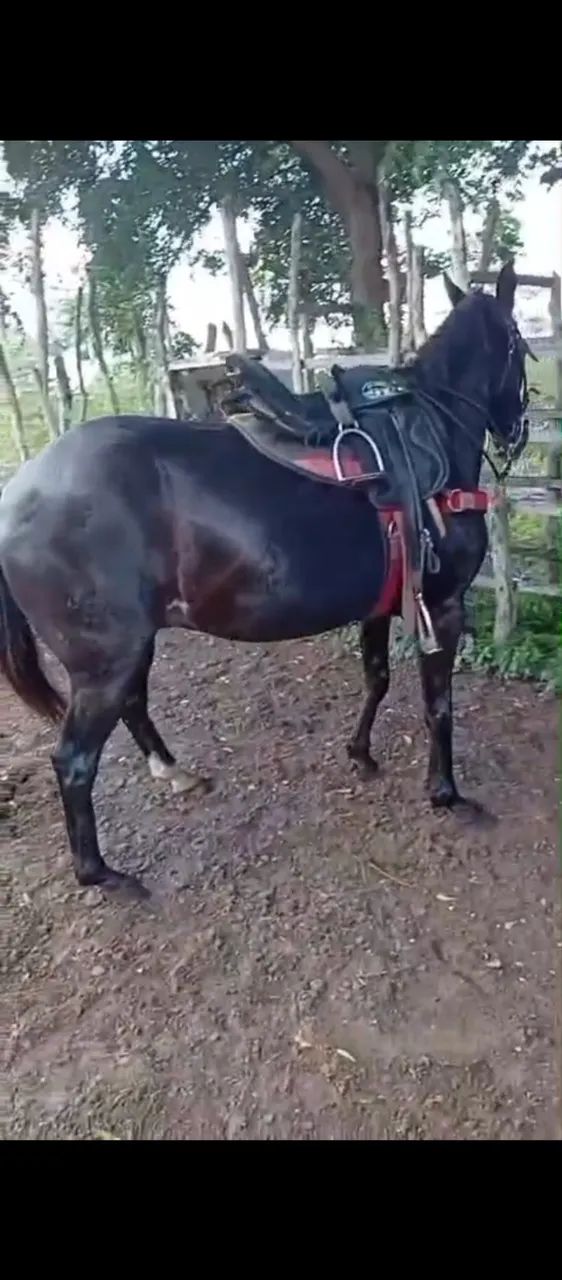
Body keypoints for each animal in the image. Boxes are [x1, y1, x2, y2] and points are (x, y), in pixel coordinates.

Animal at [0, 263, 530, 901]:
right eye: (522, 345)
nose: (517, 429)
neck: (431, 432)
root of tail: (16, 494)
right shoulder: (442, 603)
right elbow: (439, 705)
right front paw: (445, 793)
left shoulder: (378, 604)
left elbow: (376, 678)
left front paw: (360, 754)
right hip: (106, 659)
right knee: (74, 761)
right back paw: (101, 873)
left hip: (125, 649)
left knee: (132, 705)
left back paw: (173, 772)